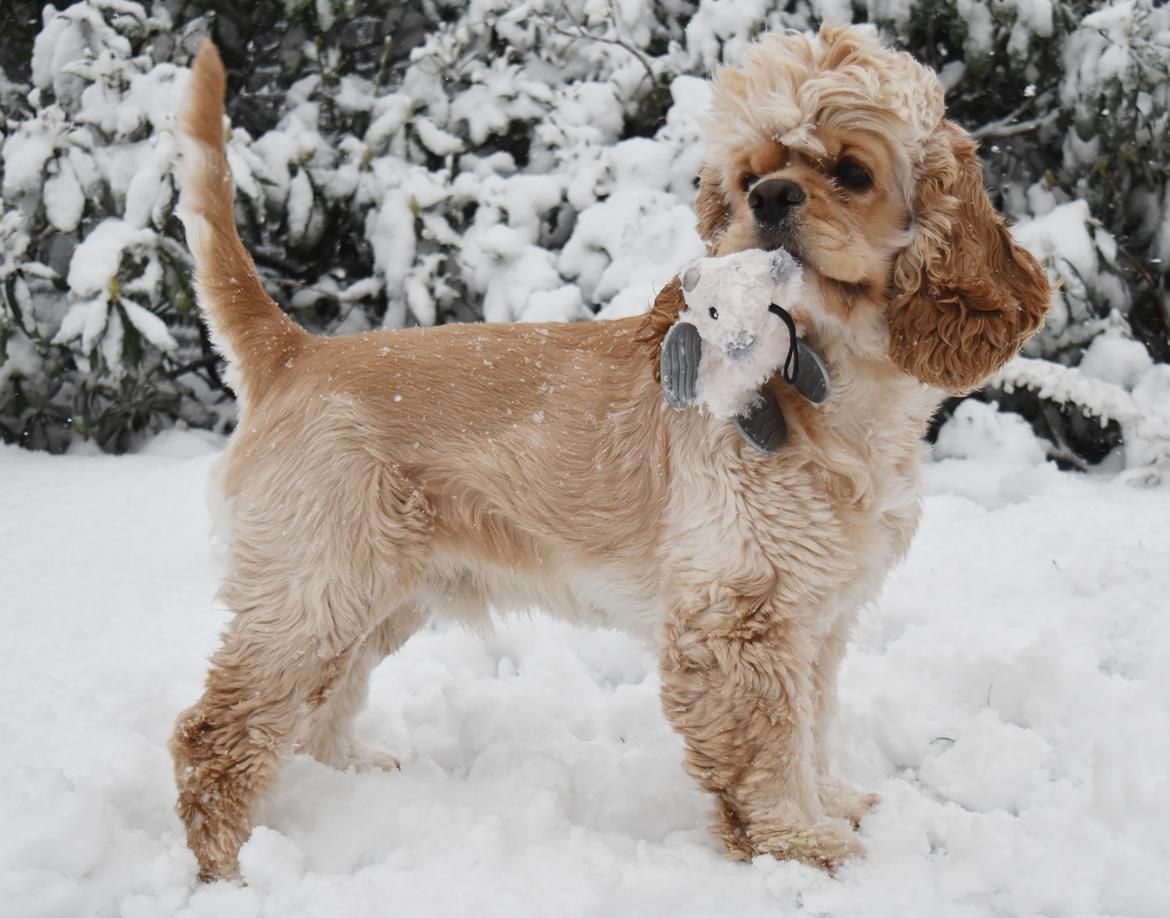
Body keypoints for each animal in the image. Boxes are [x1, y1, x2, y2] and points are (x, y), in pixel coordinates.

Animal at [170, 25, 1053, 879]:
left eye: (851, 171)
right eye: (746, 177)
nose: (769, 198)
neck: (834, 388)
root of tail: (296, 351)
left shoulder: (818, 617)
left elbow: (812, 721)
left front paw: (830, 803)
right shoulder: (738, 616)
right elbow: (769, 749)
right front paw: (800, 843)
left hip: (379, 596)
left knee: (318, 707)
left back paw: (356, 775)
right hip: (313, 590)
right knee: (214, 731)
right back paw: (229, 869)